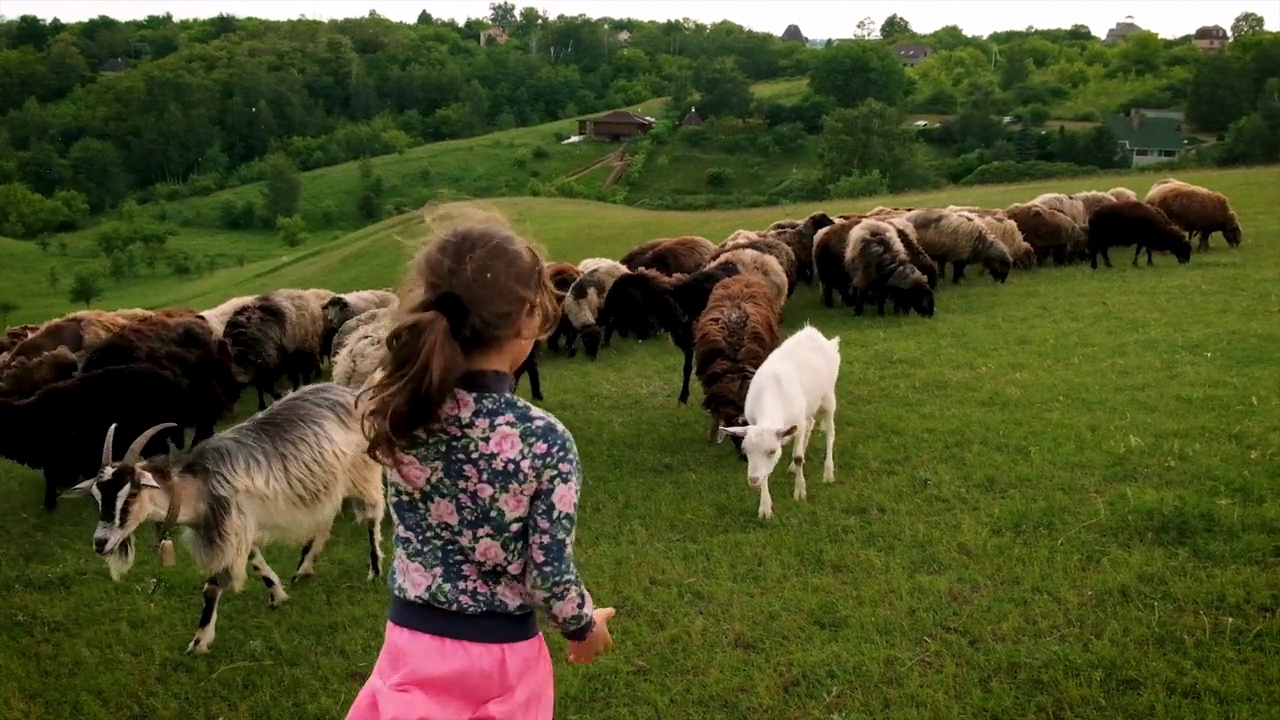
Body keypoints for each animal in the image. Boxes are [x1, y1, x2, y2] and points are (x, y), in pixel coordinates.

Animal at [63, 384, 384, 653]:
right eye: (96, 496)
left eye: (130, 494)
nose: (100, 543)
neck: (199, 489)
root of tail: (351, 393)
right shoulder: (240, 526)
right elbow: (255, 560)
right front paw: (277, 594)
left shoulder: (231, 528)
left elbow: (212, 587)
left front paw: (199, 641)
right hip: (326, 484)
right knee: (324, 522)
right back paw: (303, 568)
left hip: (361, 472)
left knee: (371, 518)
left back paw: (375, 570)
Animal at [721, 322, 839, 517]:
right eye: (745, 451)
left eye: (772, 451)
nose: (753, 480)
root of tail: (812, 332)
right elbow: (767, 471)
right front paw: (765, 507)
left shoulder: (797, 423)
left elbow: (798, 456)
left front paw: (800, 492)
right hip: (807, 407)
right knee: (811, 424)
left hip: (828, 398)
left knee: (830, 432)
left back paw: (828, 473)